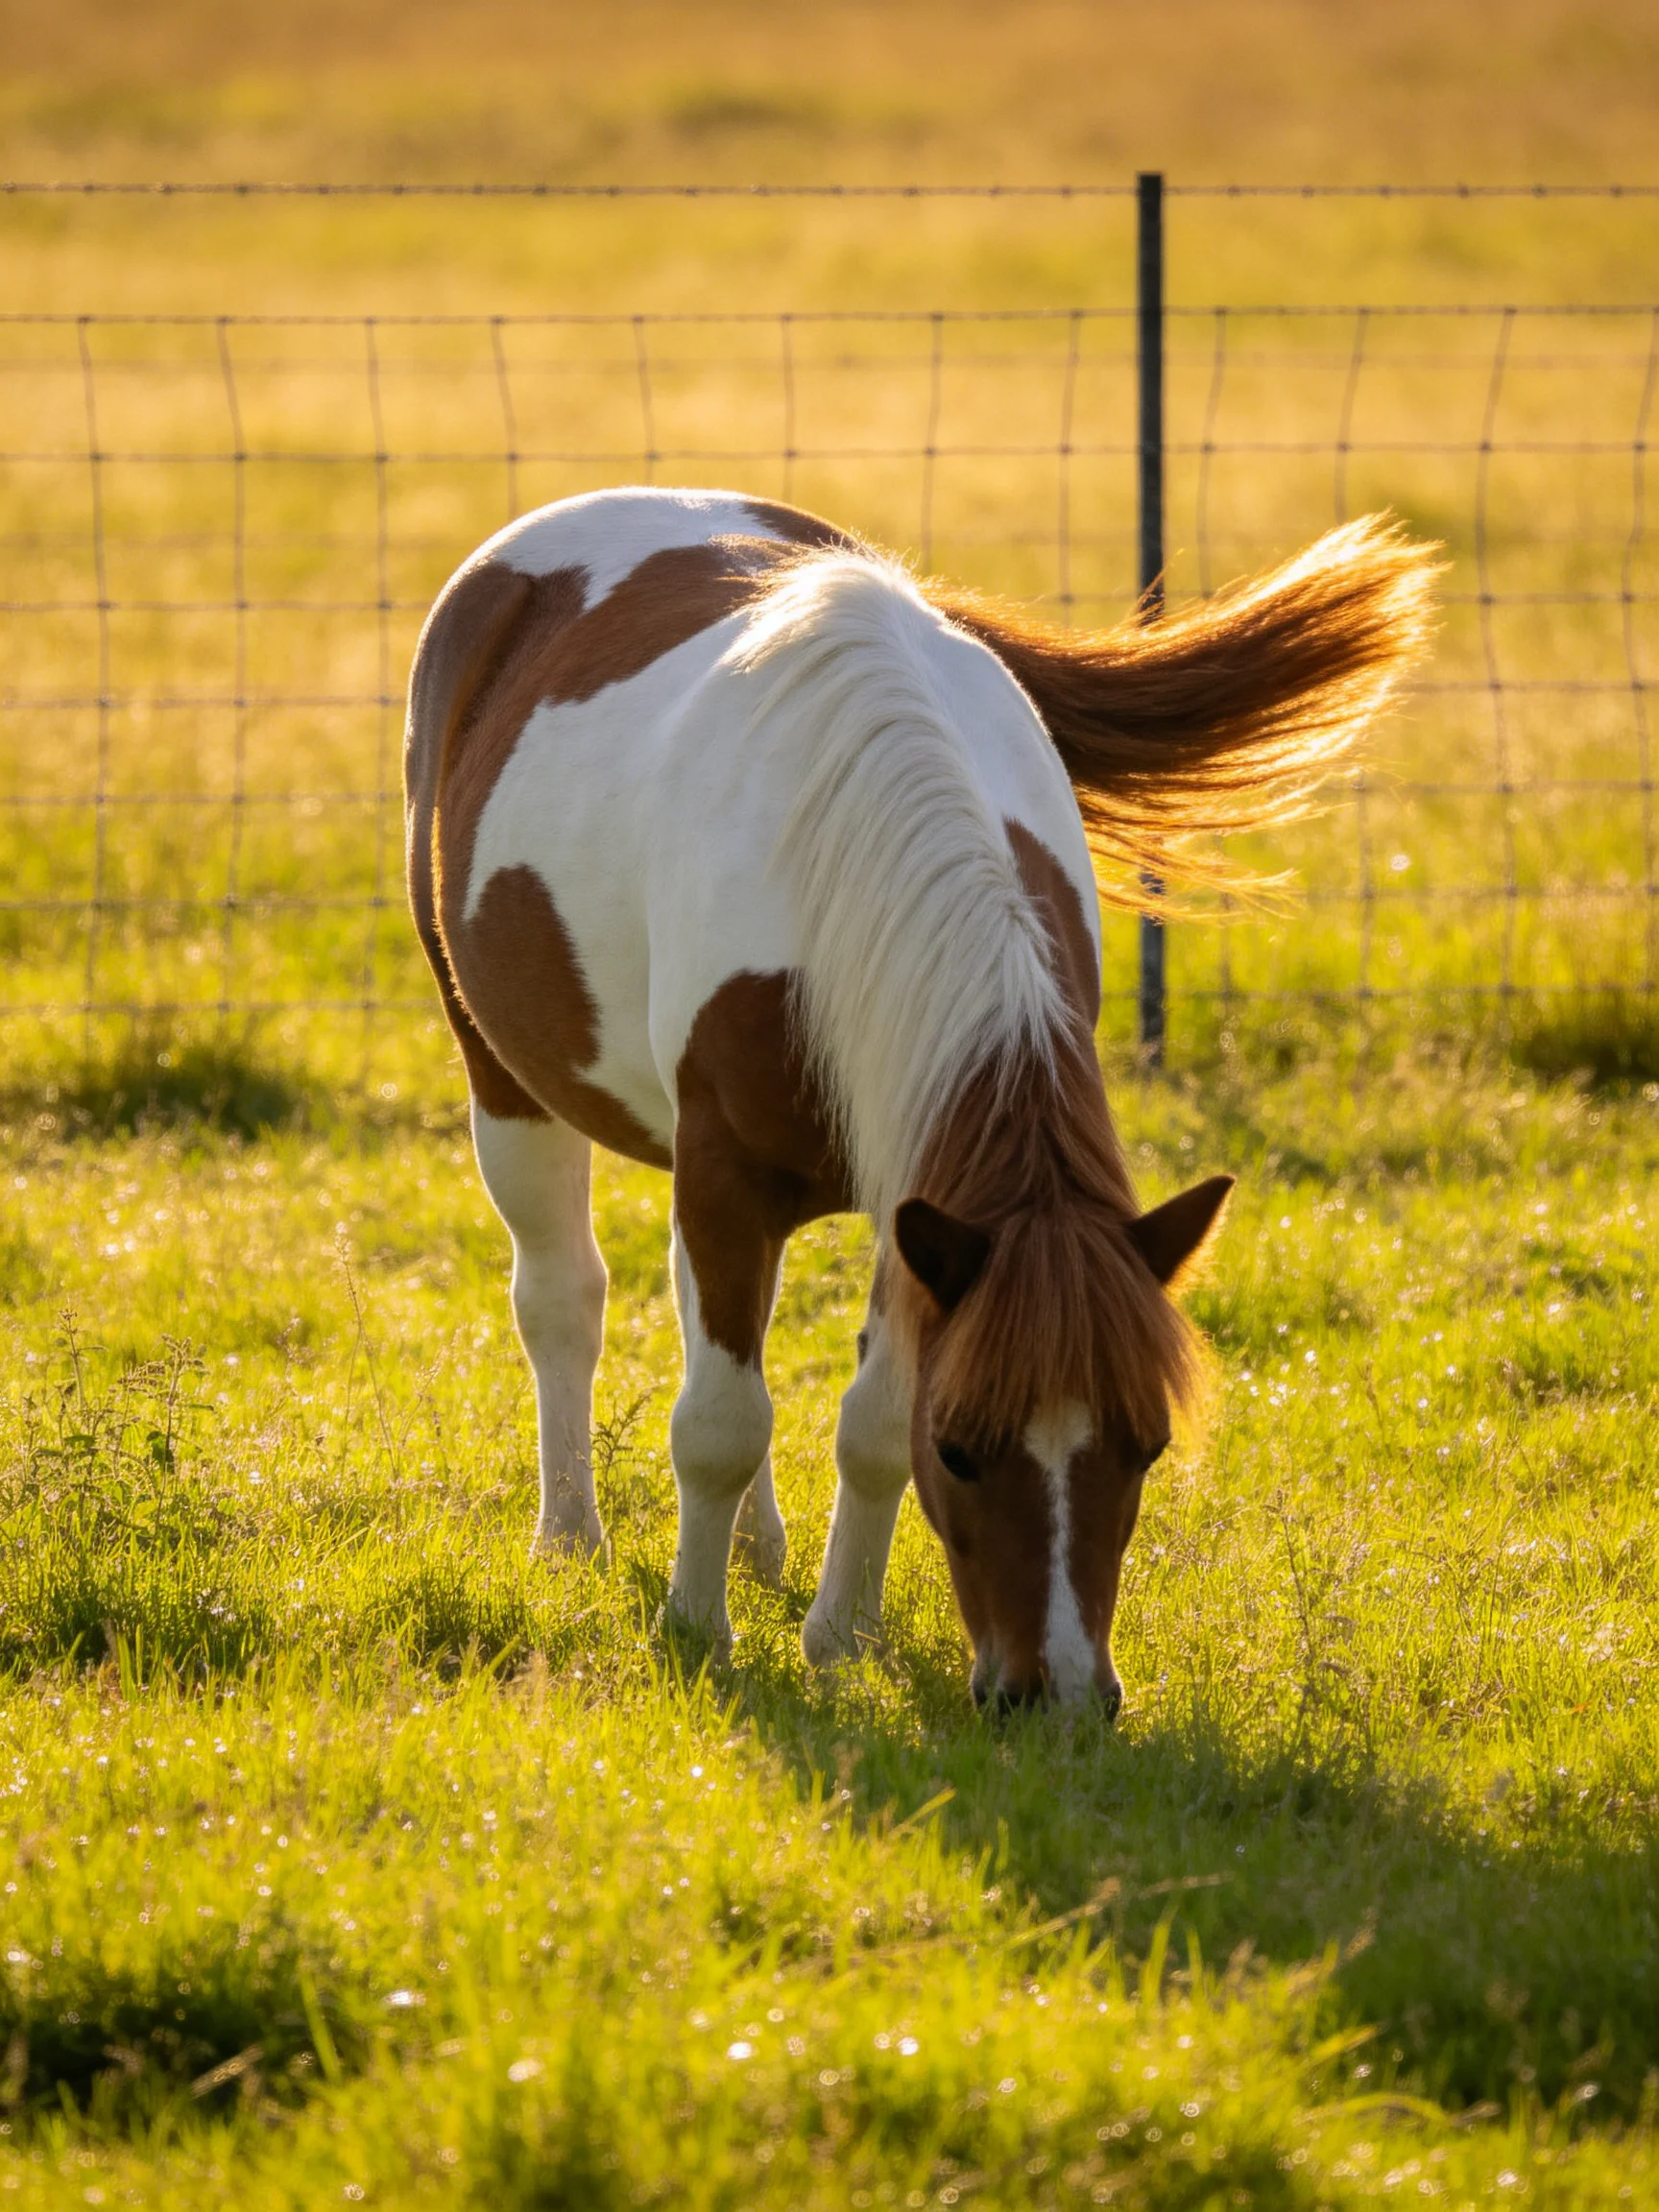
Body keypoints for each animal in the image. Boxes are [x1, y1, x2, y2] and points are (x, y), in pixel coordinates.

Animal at [405, 488, 1433, 1709]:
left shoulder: (914, 1192)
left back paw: (756, 1550)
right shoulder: (731, 1173)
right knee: (565, 1298)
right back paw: (572, 1538)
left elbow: (865, 1420)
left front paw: (841, 1634)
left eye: (1145, 1446)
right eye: (965, 1451)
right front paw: (695, 1634)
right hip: (502, 1076)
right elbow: (719, 1419)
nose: (1059, 1696)